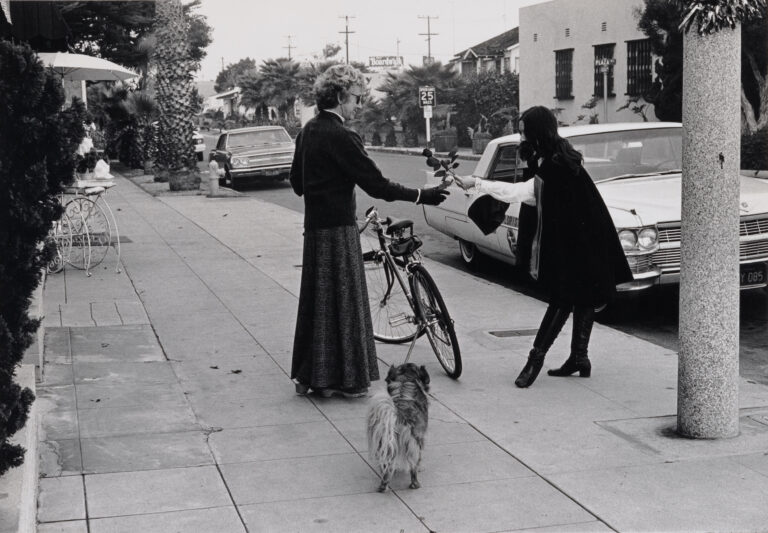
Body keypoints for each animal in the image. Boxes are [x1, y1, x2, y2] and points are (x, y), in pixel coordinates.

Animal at [368, 362, 432, 490]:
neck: (404, 382)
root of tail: (398, 414)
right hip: (414, 441)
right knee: (413, 465)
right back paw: (415, 484)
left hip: (385, 441)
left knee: (386, 465)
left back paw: (383, 485)